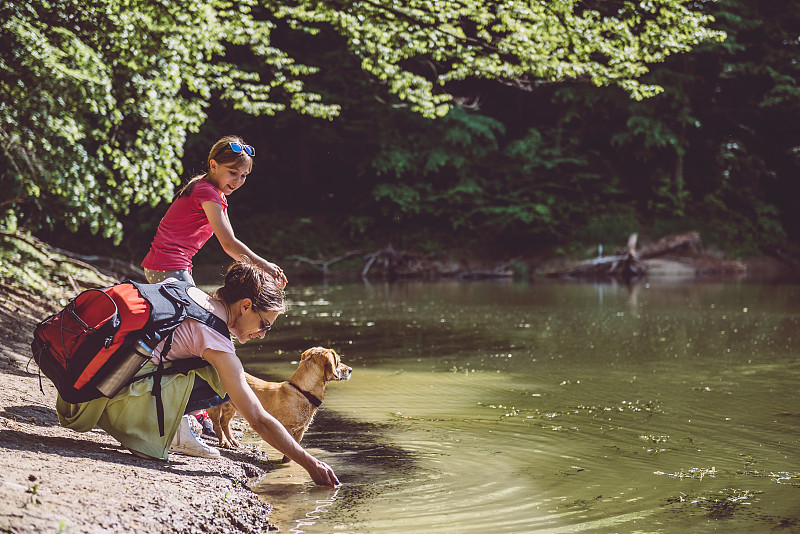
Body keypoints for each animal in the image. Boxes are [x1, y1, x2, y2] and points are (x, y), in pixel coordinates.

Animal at [208, 348, 352, 460]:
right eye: (338, 361)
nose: (350, 369)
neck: (303, 391)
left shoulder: (300, 431)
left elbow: (291, 455)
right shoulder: (287, 428)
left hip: (231, 407)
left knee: (224, 422)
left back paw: (232, 440)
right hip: (215, 407)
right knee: (217, 425)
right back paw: (224, 442)